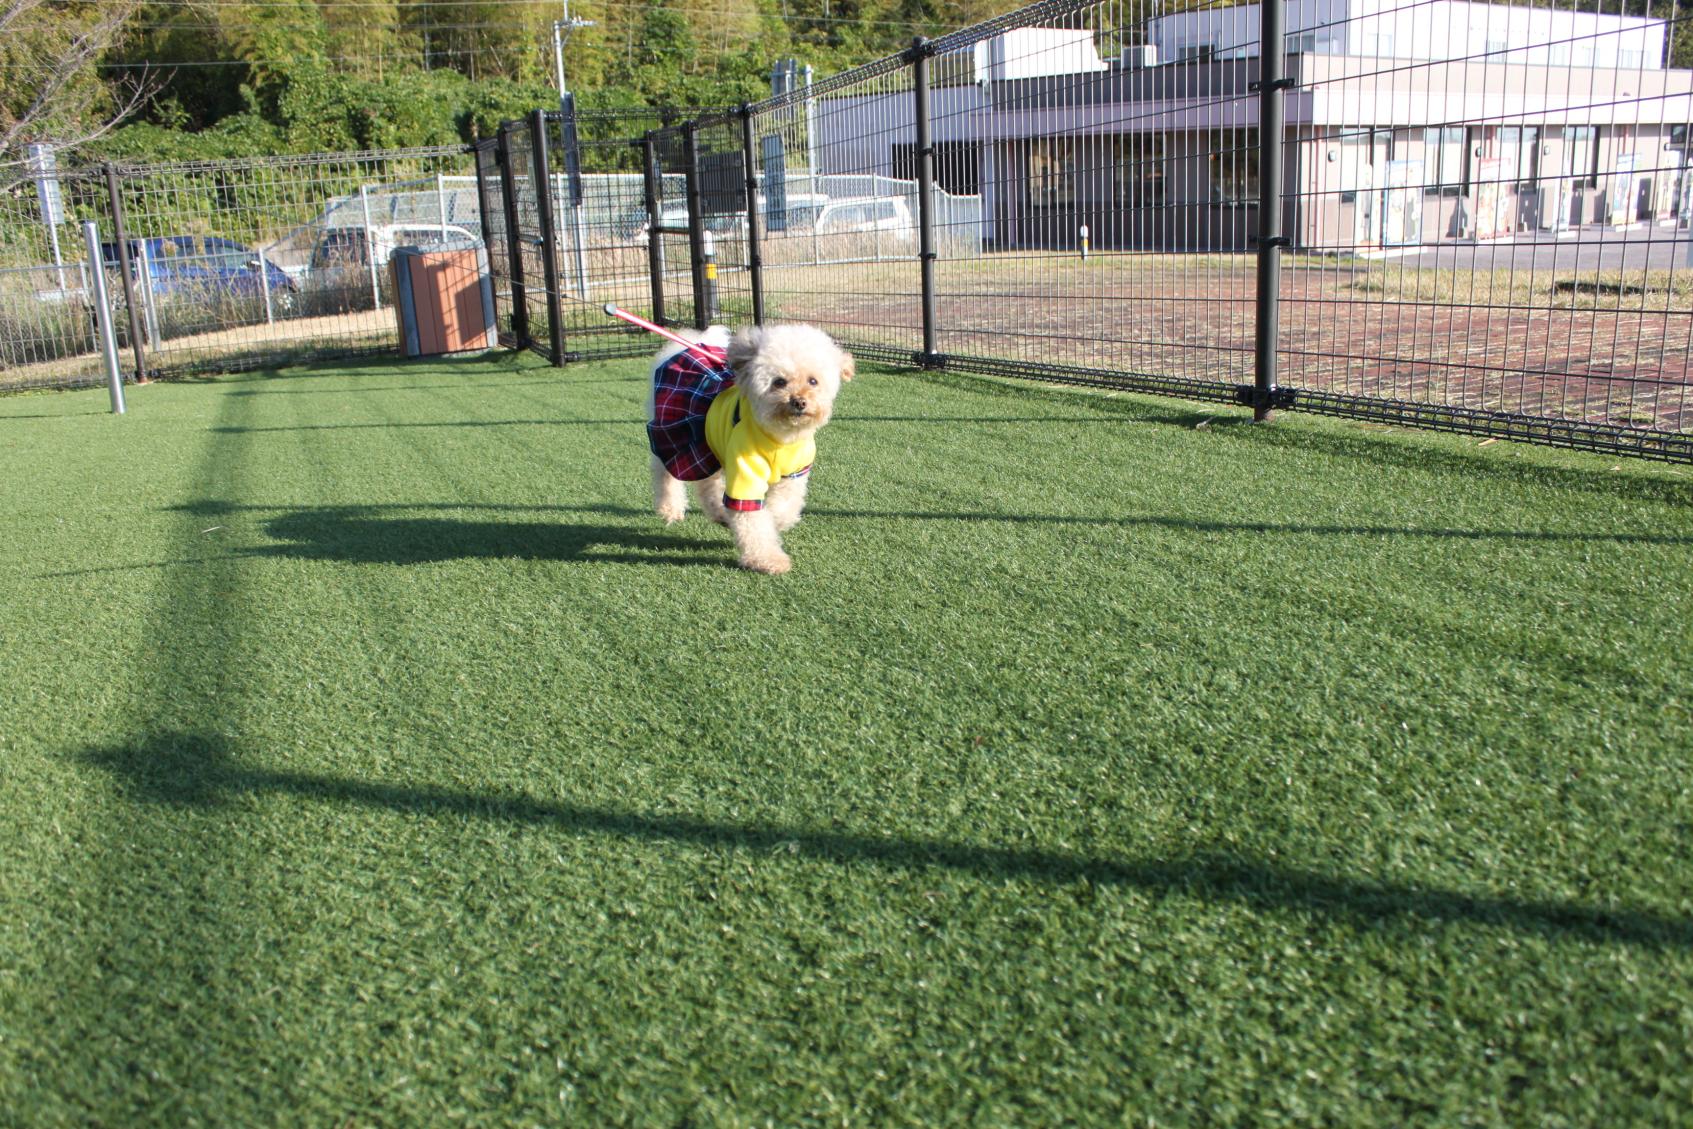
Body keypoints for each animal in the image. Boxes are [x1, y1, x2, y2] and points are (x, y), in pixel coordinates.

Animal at [650, 324, 860, 575]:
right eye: (779, 382)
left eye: (813, 381)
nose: (799, 402)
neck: (779, 437)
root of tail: (685, 345)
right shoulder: (745, 476)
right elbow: (753, 522)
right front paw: (768, 559)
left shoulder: (794, 474)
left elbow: (784, 507)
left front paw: (775, 521)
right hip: (674, 435)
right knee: (664, 472)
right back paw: (670, 508)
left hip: (707, 447)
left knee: (707, 483)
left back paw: (718, 513)